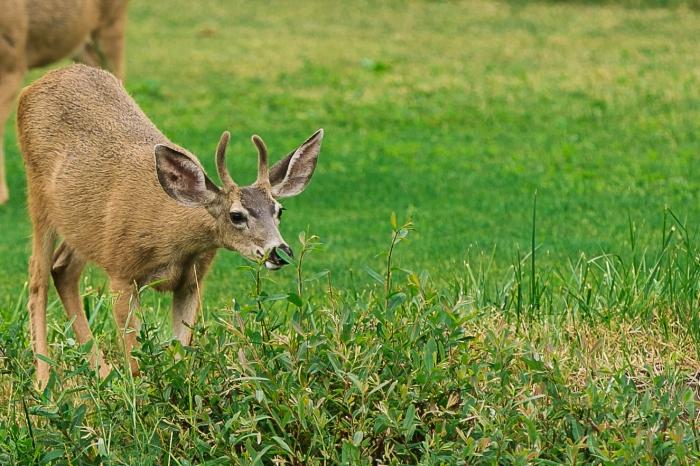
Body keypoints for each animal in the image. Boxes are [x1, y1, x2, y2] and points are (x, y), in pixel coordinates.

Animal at [15, 63, 322, 388]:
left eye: (279, 210)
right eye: (236, 215)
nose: (281, 251)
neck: (172, 240)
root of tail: (37, 84)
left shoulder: (192, 280)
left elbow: (182, 355)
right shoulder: (121, 271)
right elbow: (135, 361)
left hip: (80, 226)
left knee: (62, 268)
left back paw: (102, 373)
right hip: (38, 196)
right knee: (37, 277)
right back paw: (44, 380)